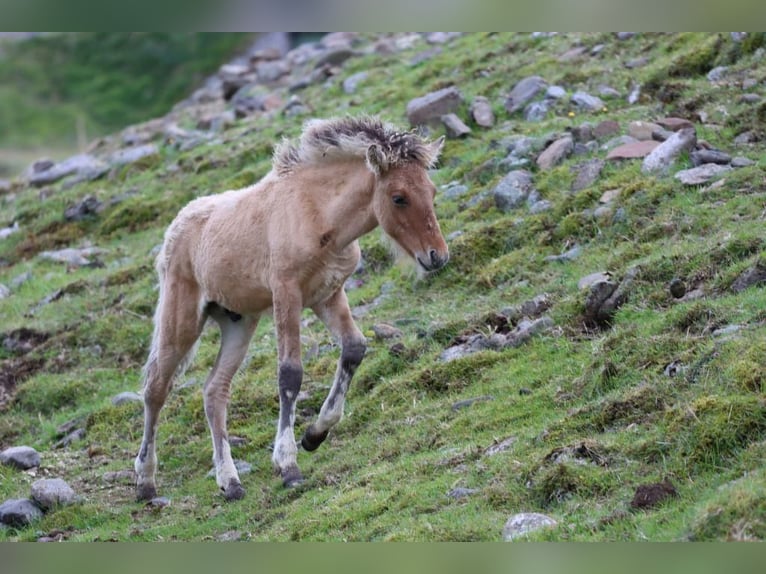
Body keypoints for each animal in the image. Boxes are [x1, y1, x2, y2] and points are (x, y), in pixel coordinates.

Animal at [134, 116, 450, 501]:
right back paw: (146, 482)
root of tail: (175, 228)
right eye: (399, 197)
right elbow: (290, 374)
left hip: (239, 322)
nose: (437, 256)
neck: (317, 213)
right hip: (181, 320)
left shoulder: (327, 295)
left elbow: (354, 348)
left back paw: (230, 481)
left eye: (431, 192)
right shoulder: (287, 294)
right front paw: (288, 465)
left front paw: (314, 435)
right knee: (156, 388)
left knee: (214, 390)